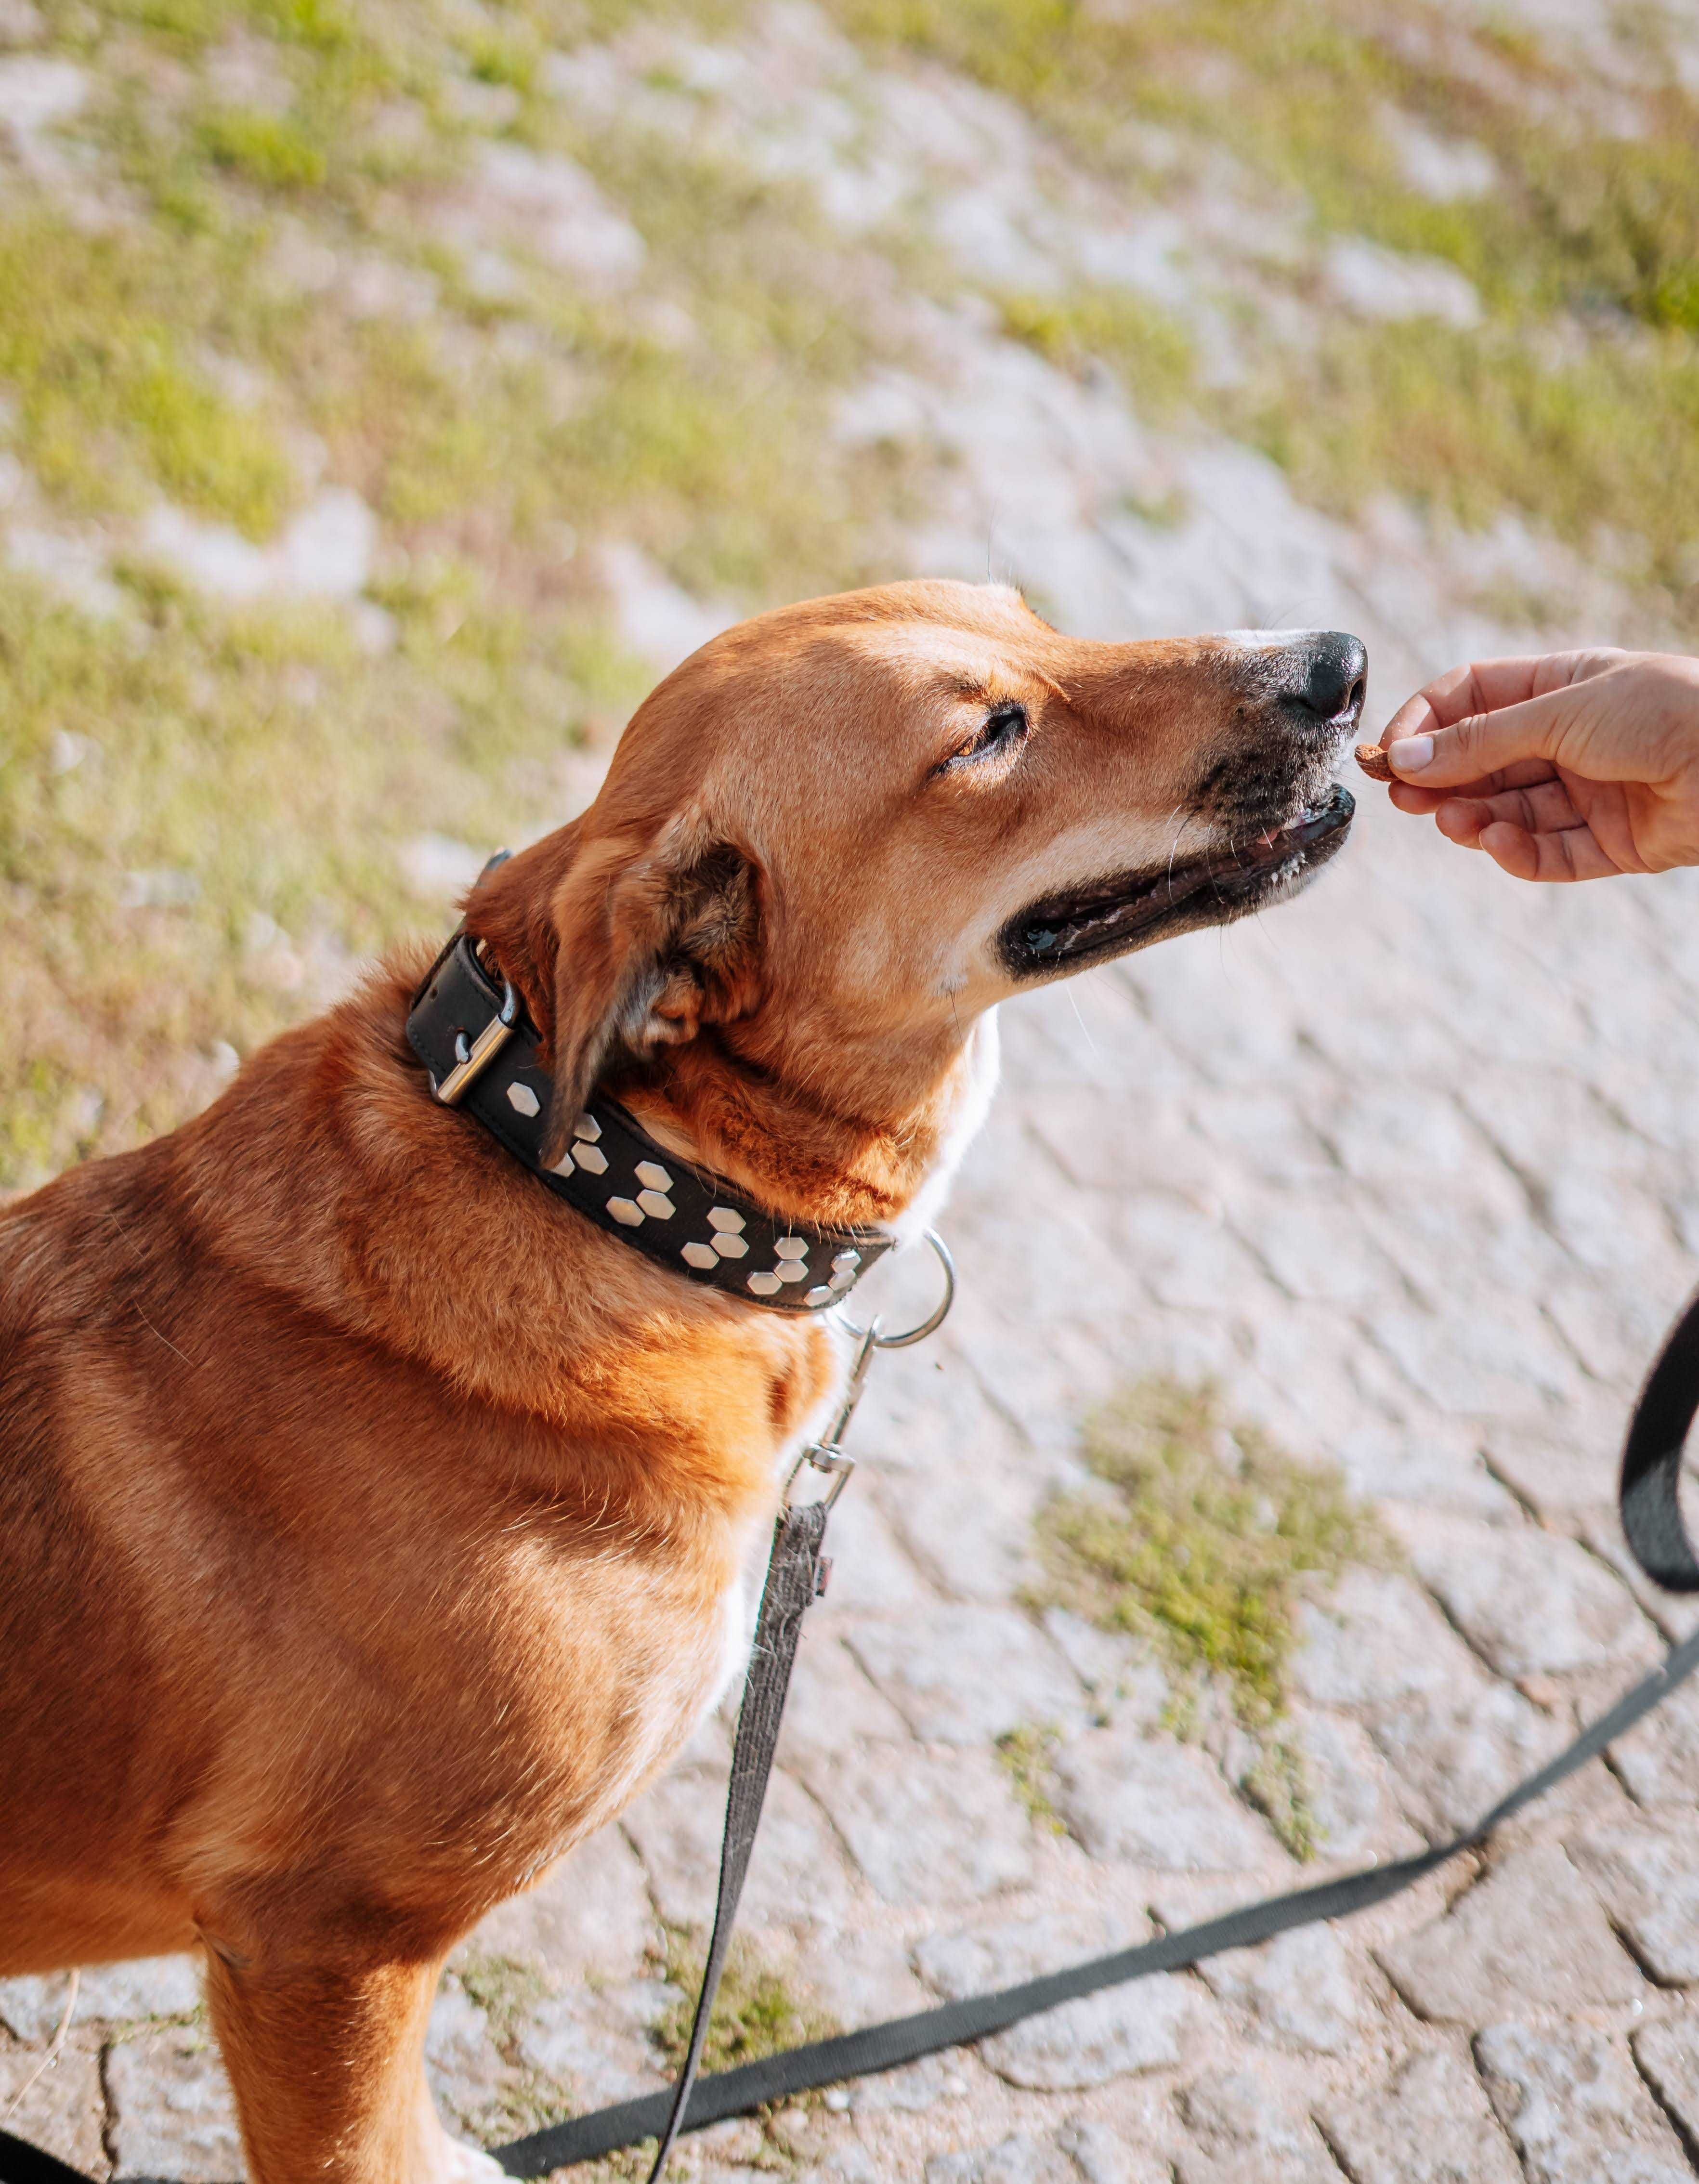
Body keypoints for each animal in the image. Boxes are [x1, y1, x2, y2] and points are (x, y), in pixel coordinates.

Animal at [0, 585, 1362, 2184]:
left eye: (1039, 619)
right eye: (988, 733)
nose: (1342, 663)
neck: (607, 1180)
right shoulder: (325, 1941)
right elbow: (358, 2143)